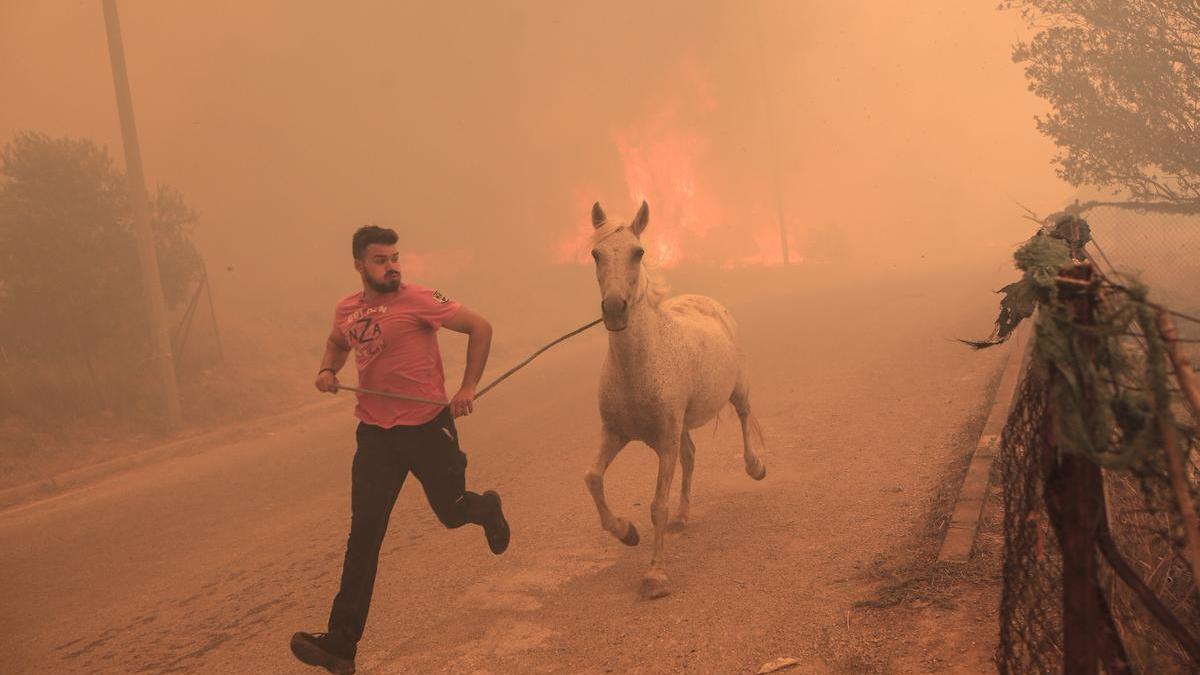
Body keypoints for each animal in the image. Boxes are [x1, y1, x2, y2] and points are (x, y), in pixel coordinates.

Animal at [583, 200, 768, 598]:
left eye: (638, 252)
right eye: (595, 253)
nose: (615, 309)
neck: (638, 366)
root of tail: (710, 302)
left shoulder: (665, 440)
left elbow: (657, 505)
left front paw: (655, 576)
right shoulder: (615, 433)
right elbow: (592, 479)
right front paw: (626, 532)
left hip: (737, 391)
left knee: (744, 418)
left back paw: (755, 466)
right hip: (681, 425)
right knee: (691, 456)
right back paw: (683, 517)